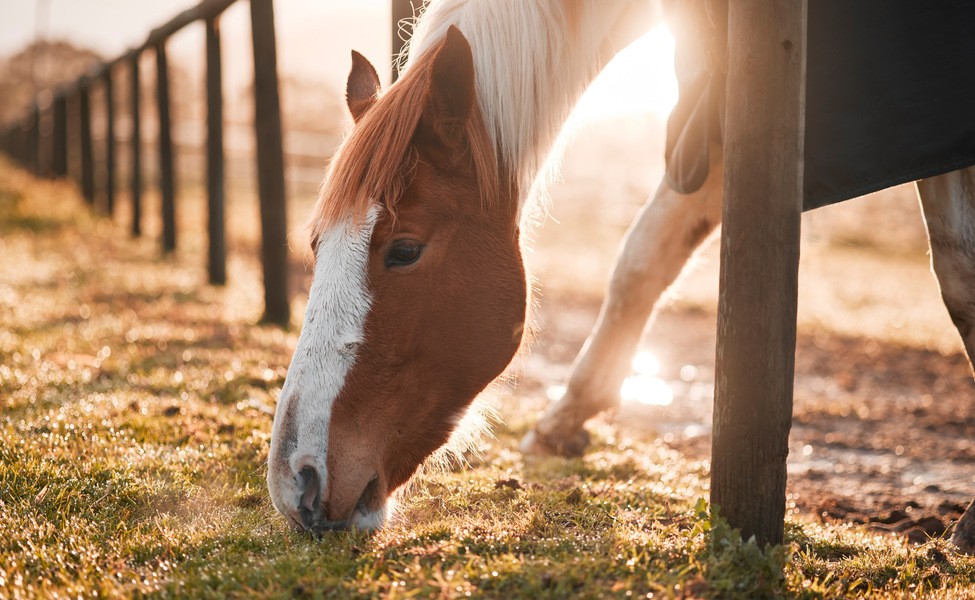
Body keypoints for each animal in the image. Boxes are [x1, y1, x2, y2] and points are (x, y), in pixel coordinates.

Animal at [264, 0, 975, 548]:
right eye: (317, 244)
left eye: (405, 250)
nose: (296, 481)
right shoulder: (716, 118)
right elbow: (642, 258)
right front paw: (567, 417)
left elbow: (958, 271)